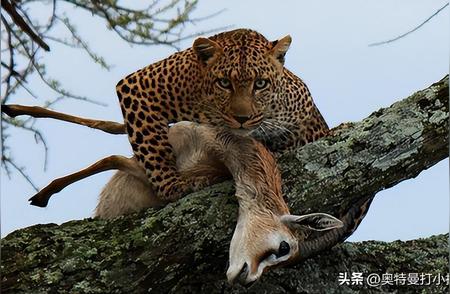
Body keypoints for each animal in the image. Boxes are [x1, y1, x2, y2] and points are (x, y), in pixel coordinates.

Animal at [115, 28, 326, 202]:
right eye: (224, 83)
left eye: (260, 84)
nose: (242, 119)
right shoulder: (138, 86)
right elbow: (153, 147)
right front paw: (172, 186)